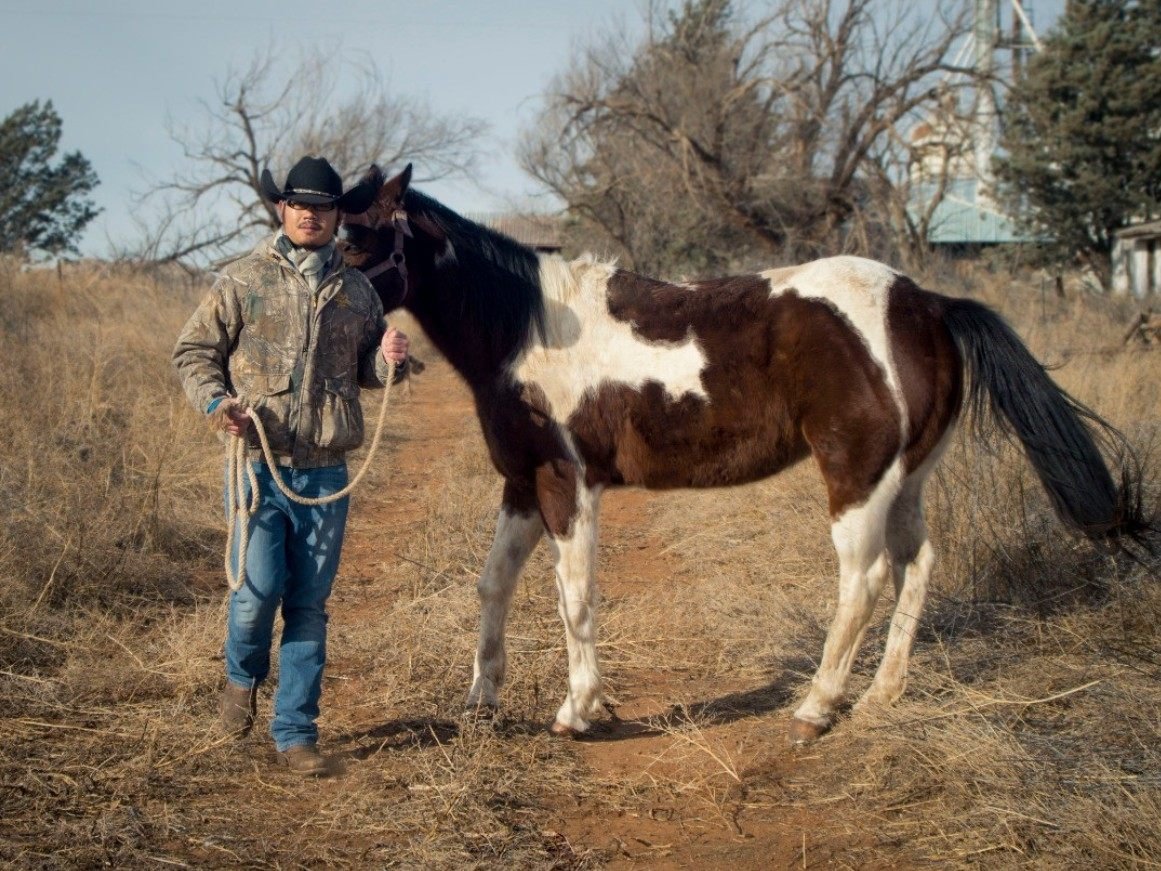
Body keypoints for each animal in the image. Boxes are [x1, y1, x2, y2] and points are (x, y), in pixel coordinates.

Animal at [341, 164, 1145, 743]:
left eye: (357, 241)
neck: (529, 327)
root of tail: (925, 305)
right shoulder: (522, 482)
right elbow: (494, 586)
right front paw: (481, 700)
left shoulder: (568, 484)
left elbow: (574, 598)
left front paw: (579, 711)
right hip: (907, 481)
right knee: (918, 565)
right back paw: (880, 696)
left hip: (856, 481)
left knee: (865, 580)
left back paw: (816, 708)